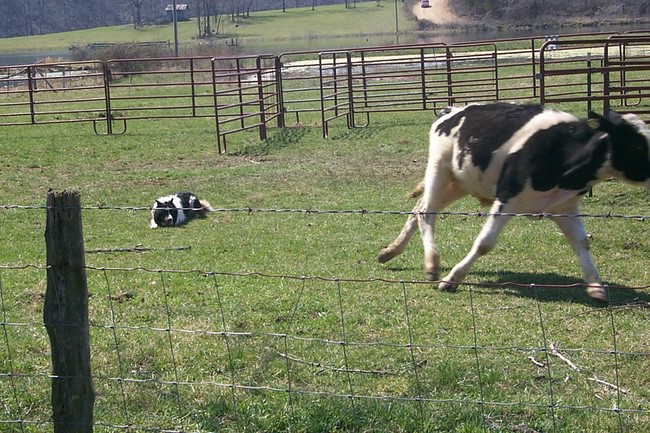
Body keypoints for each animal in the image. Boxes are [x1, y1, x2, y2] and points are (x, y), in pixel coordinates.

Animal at [378, 103, 648, 302]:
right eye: (636, 143)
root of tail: (452, 110)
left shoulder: (565, 206)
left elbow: (581, 243)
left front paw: (596, 286)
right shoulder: (507, 197)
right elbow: (485, 243)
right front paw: (452, 279)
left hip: (459, 183)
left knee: (417, 210)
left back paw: (390, 252)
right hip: (439, 169)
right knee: (426, 213)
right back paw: (432, 265)